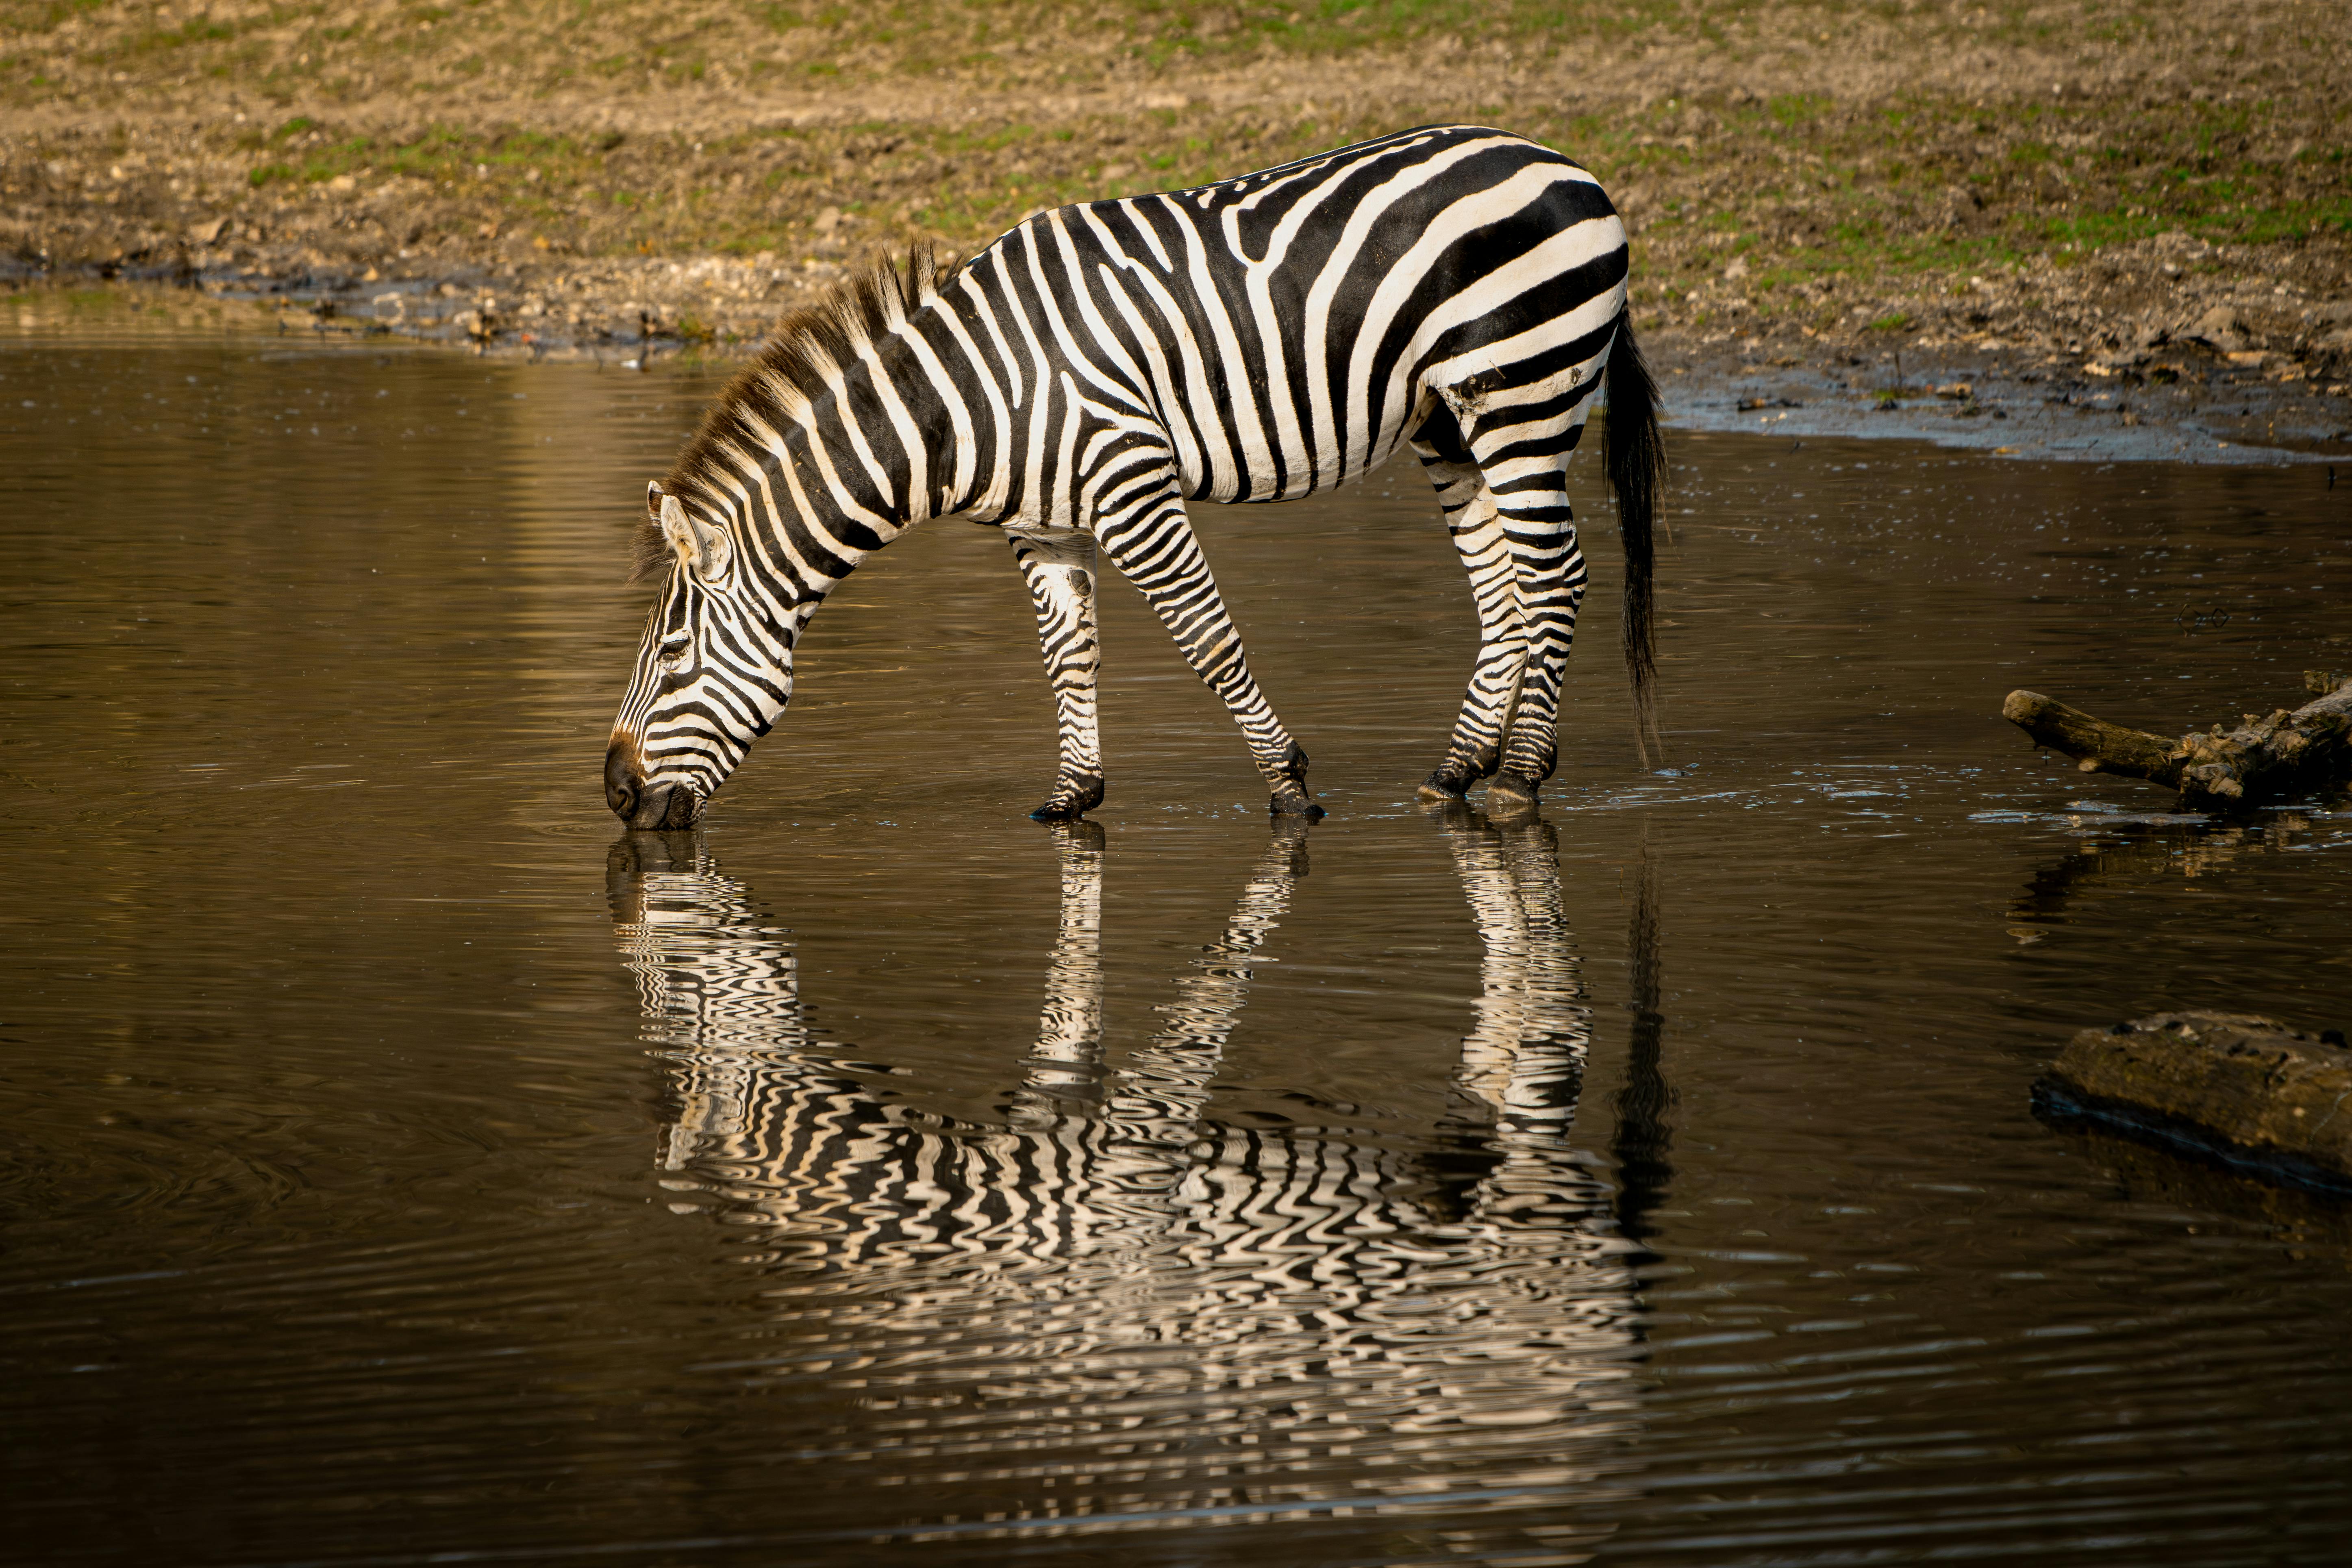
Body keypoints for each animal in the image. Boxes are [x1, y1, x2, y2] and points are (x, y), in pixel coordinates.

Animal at [605, 123, 1664, 830]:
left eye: (671, 658)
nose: (613, 794)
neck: (968, 402)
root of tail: (1559, 162)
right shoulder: (1043, 525)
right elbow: (1068, 658)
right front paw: (1072, 797)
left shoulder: (1132, 485)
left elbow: (1208, 640)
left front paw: (1288, 786)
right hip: (1448, 423)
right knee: (1504, 589)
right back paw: (1455, 773)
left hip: (1523, 389)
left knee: (1555, 577)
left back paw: (1519, 777)